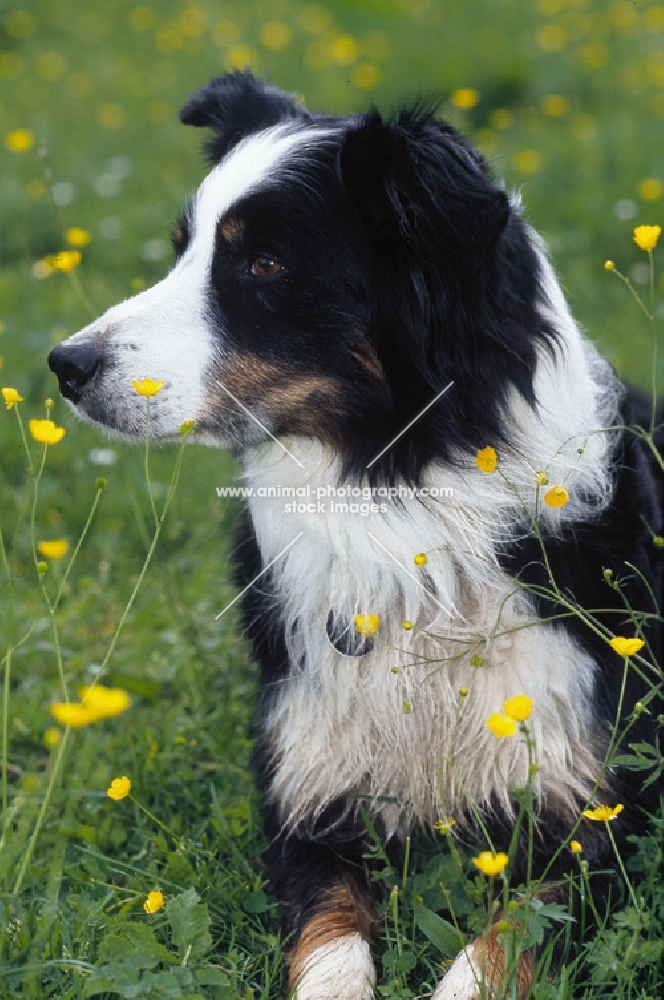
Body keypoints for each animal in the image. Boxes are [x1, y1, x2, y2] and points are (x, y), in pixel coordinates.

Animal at [46, 74, 660, 996]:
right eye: (182, 250)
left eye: (263, 264)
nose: (64, 365)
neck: (402, 515)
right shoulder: (308, 799)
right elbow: (329, 945)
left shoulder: (598, 809)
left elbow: (499, 943)